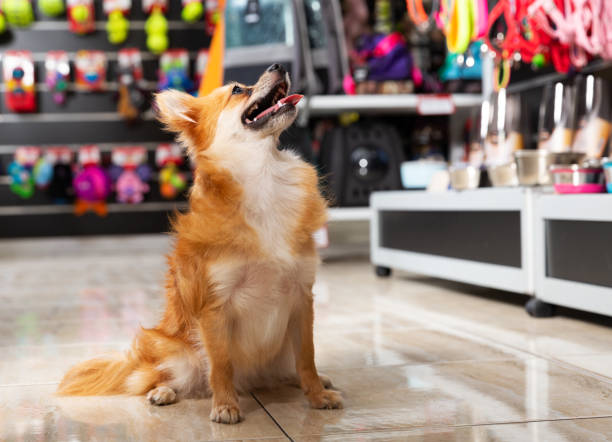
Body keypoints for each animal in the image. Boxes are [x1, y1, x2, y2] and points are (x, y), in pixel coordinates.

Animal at [57, 64, 344, 424]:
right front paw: (225, 406)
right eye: (237, 90)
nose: (278, 66)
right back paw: (163, 391)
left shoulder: (301, 298)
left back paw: (316, 380)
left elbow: (307, 357)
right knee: (164, 376)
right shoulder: (214, 306)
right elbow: (220, 365)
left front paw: (317, 395)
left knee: (289, 369)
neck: (265, 177)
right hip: (177, 350)